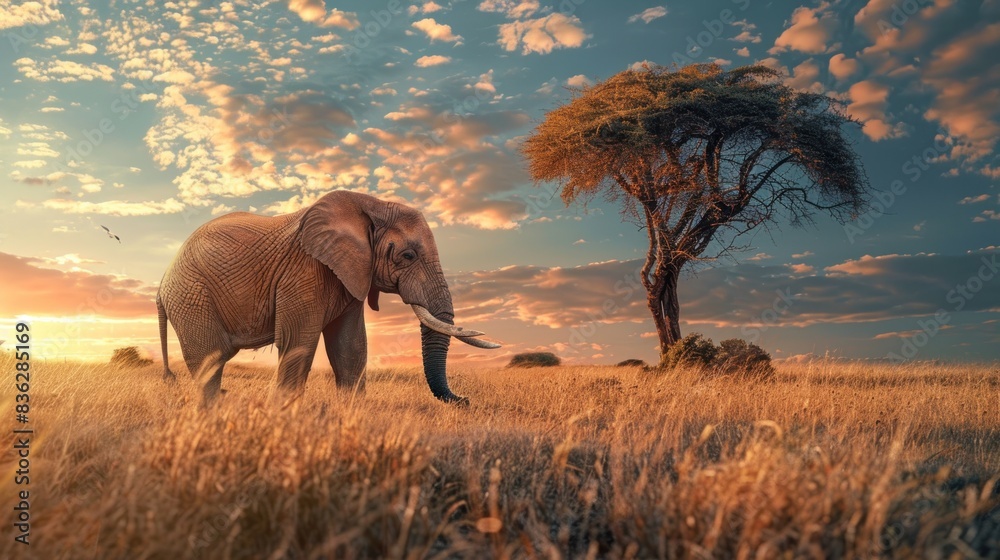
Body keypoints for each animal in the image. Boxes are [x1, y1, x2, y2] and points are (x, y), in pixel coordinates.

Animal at [156, 190, 500, 406]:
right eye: (408, 255)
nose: (465, 400)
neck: (371, 204)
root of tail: (162, 282)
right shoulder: (304, 269)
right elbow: (299, 341)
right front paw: (281, 416)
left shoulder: (352, 274)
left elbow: (350, 347)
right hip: (191, 296)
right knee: (209, 362)